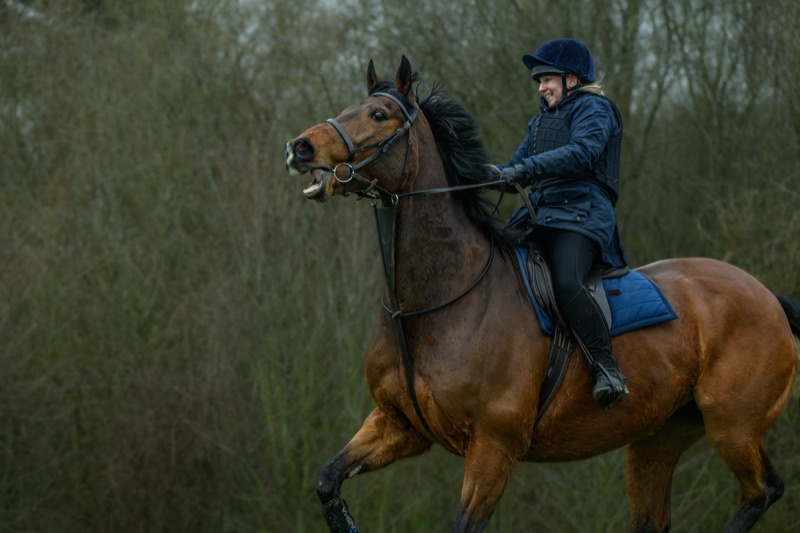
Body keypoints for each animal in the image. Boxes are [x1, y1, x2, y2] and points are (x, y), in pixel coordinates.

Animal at [284, 56, 800, 532]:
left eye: (377, 114)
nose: (299, 147)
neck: (432, 307)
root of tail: (769, 298)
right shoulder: (399, 425)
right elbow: (327, 482)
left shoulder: (493, 448)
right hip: (657, 439)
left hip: (732, 425)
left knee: (763, 490)